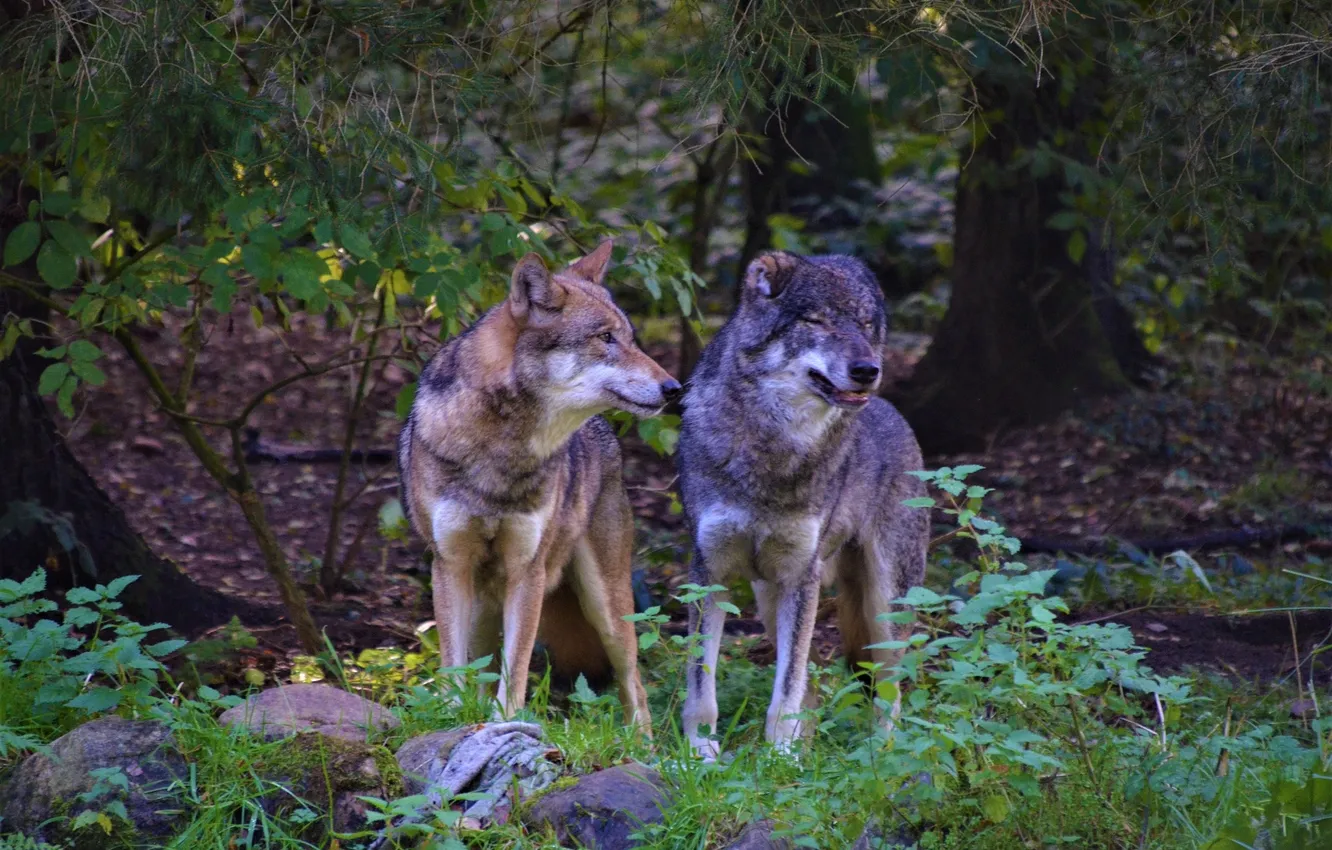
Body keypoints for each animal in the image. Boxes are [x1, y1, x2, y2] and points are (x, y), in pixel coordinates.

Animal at [398, 241, 679, 733]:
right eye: (606, 338)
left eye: (629, 337)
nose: (675, 388)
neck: (501, 453)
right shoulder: (449, 565)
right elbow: (456, 668)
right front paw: (451, 721)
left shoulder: (527, 571)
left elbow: (517, 669)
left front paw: (505, 722)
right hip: (484, 606)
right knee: (481, 668)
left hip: (608, 606)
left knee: (635, 685)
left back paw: (643, 745)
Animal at [677, 250, 929, 757]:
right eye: (817, 321)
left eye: (865, 324)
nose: (868, 369)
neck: (773, 448)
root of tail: (895, 413)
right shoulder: (708, 573)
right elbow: (702, 685)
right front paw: (700, 754)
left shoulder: (802, 577)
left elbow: (788, 687)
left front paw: (782, 758)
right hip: (771, 603)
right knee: (815, 684)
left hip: (886, 605)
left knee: (888, 692)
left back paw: (883, 755)